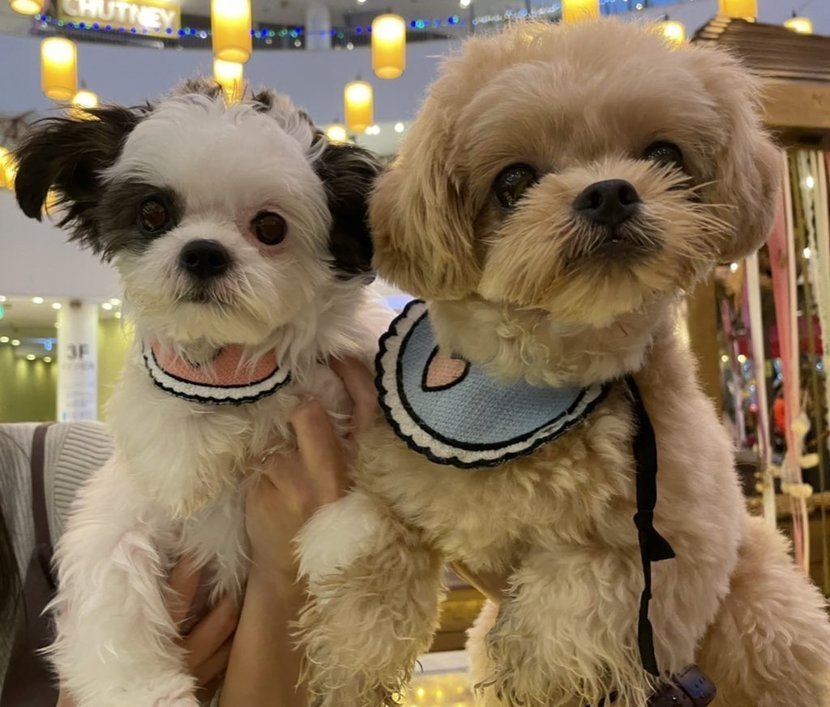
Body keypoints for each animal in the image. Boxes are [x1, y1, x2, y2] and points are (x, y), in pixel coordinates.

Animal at [13, 80, 387, 706]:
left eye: (270, 228)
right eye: (153, 213)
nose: (204, 252)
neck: (231, 375)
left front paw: (343, 528)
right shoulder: (123, 508)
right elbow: (114, 580)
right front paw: (144, 690)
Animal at [295, 20, 830, 707]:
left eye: (664, 155)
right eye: (514, 181)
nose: (609, 192)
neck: (536, 371)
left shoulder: (671, 544)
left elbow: (579, 588)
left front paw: (541, 672)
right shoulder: (396, 491)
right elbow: (372, 564)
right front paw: (349, 669)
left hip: (766, 610)